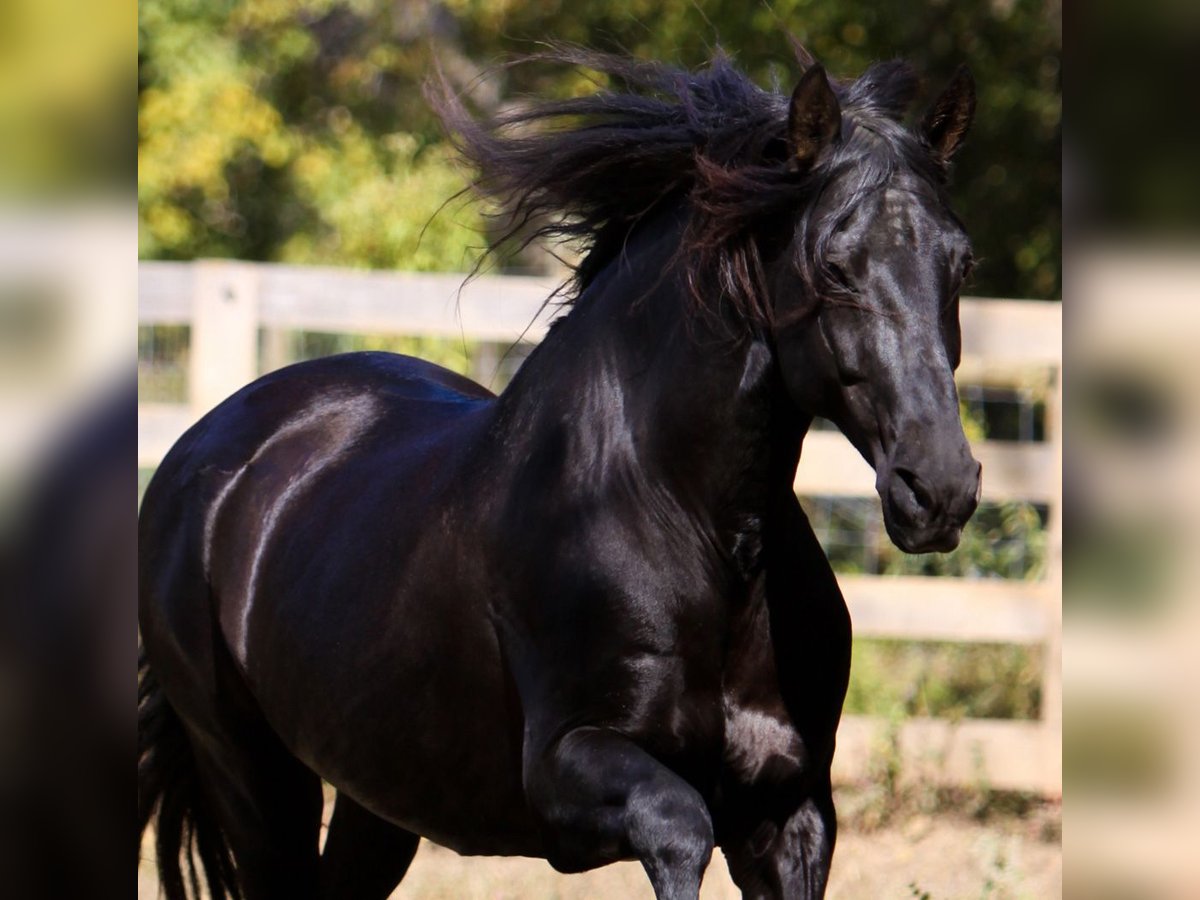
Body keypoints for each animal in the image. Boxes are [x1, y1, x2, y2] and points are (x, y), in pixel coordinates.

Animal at [140, 49, 979, 900]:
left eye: (961, 261)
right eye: (834, 265)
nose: (939, 488)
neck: (685, 525)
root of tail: (205, 448)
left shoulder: (791, 811)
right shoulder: (565, 770)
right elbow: (681, 826)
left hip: (379, 795)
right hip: (254, 780)